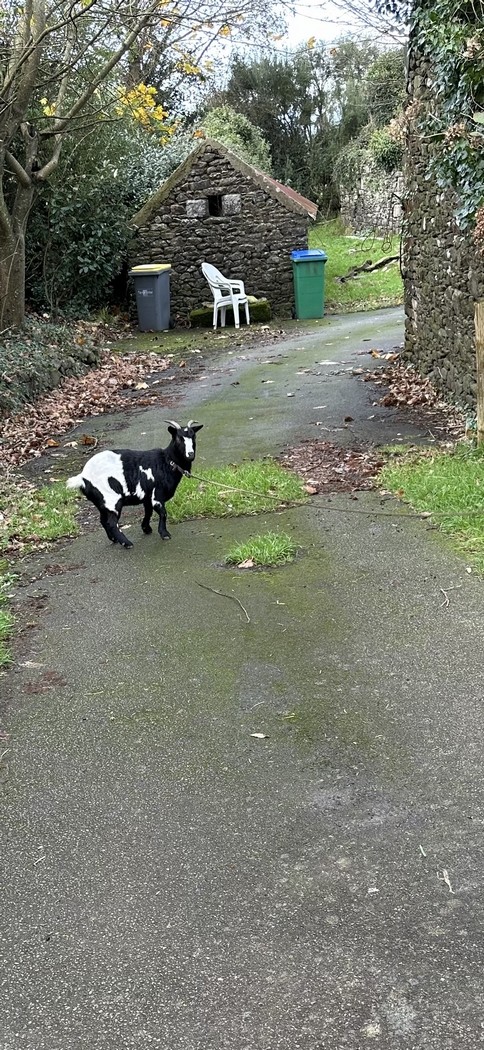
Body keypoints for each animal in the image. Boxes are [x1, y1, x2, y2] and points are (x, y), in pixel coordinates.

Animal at [65, 417, 201, 550]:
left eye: (193, 436)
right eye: (178, 438)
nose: (190, 455)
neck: (167, 461)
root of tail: (83, 477)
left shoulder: (147, 497)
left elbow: (148, 512)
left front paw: (146, 528)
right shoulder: (157, 495)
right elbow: (163, 513)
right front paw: (164, 534)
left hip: (102, 503)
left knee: (103, 520)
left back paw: (114, 539)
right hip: (112, 499)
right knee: (111, 523)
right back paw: (126, 543)